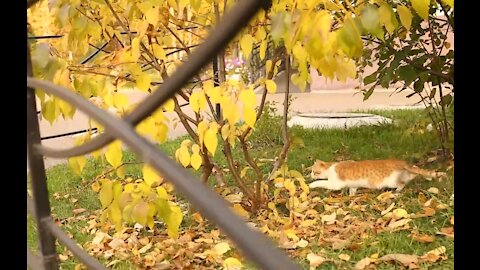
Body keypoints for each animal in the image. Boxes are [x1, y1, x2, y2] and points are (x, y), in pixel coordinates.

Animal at [310, 159, 444, 195]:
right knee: (414, 174)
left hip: (390, 181)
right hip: (409, 173)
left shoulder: (335, 184)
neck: (331, 166)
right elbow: (352, 191)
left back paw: (396, 192)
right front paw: (351, 197)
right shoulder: (353, 186)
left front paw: (311, 185)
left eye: (314, 171)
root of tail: (401, 162)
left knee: (401, 184)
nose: (310, 174)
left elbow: (323, 182)